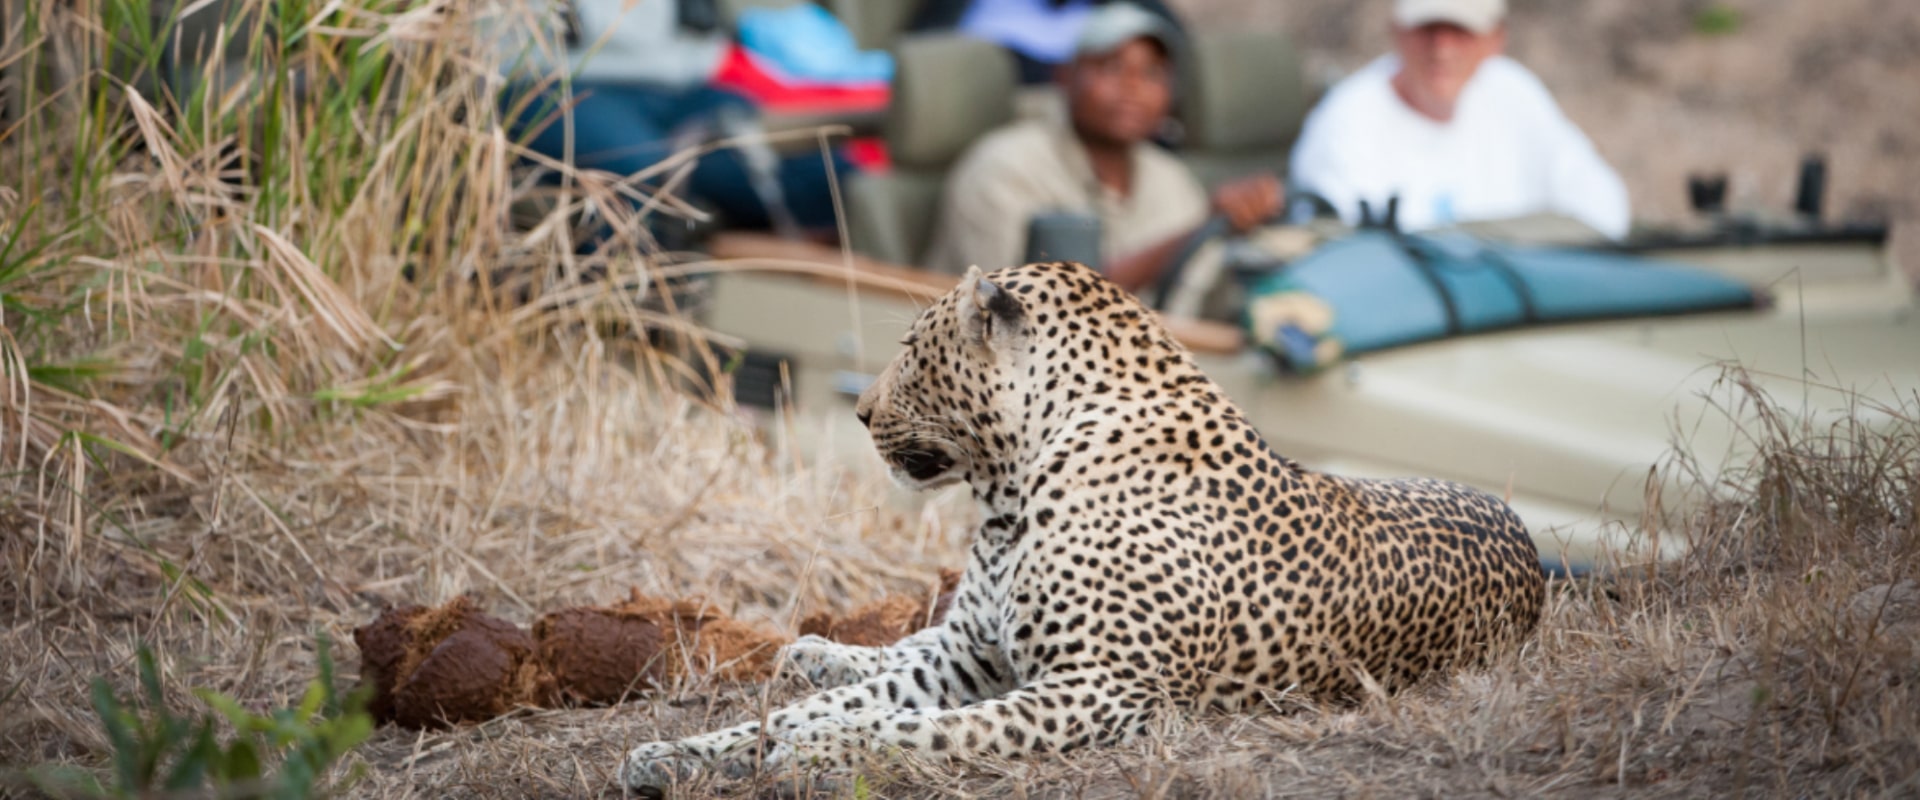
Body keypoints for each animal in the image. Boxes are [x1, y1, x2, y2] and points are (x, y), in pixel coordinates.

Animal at [622, 260, 1551, 790]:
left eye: (915, 352)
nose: (859, 410)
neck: (1010, 495)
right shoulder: (969, 657)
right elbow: (821, 707)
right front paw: (675, 755)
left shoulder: (1105, 684)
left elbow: (920, 724)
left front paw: (821, 753)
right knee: (891, 645)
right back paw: (813, 653)